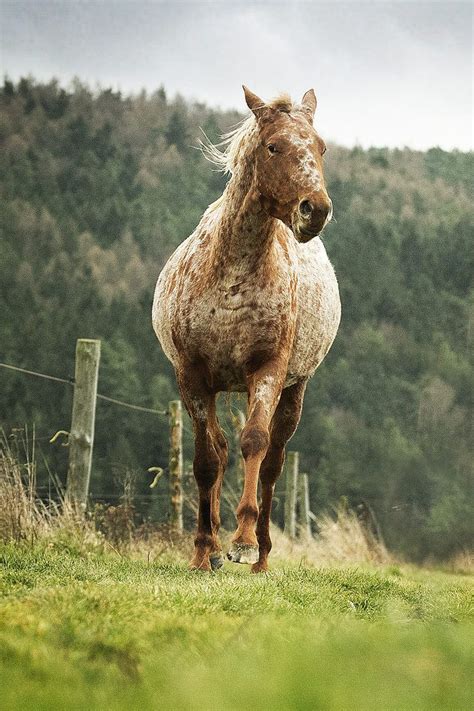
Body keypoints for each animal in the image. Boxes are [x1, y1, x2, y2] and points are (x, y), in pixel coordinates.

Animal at [152, 86, 341, 572]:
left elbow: (254, 442)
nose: (315, 211)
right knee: (218, 450)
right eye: (273, 147)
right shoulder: (192, 377)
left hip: (295, 390)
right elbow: (206, 460)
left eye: (321, 148)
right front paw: (205, 551)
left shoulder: (268, 370)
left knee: (273, 461)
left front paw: (242, 541)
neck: (232, 273)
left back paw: (262, 557)